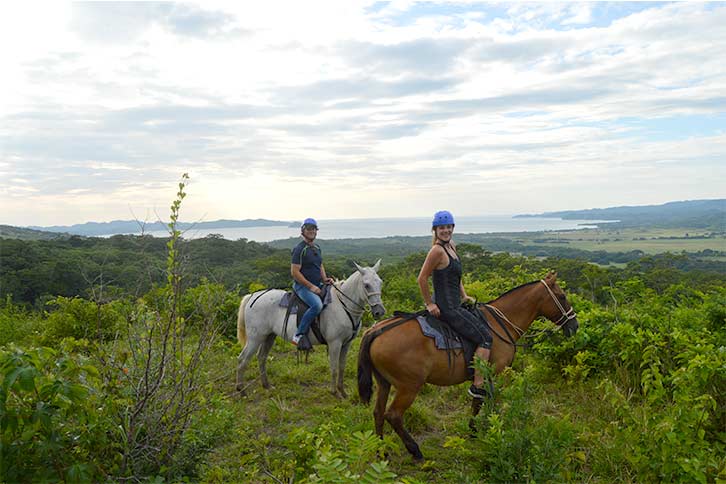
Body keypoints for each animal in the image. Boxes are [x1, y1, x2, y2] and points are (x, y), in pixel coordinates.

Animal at [237, 260, 386, 398]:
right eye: (366, 285)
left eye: (380, 282)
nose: (379, 311)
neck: (343, 305)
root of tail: (252, 296)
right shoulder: (335, 343)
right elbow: (334, 368)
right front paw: (335, 392)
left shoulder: (346, 344)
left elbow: (342, 367)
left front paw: (343, 391)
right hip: (255, 338)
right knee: (243, 359)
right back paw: (241, 390)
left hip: (269, 336)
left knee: (261, 357)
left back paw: (266, 385)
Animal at [358, 274, 580, 460]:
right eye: (562, 296)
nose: (574, 325)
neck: (500, 323)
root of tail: (376, 331)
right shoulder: (494, 373)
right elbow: (487, 401)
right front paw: (487, 429)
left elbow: (477, 401)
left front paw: (473, 430)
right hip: (409, 386)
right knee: (393, 415)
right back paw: (414, 450)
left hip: (384, 382)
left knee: (378, 413)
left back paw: (381, 451)